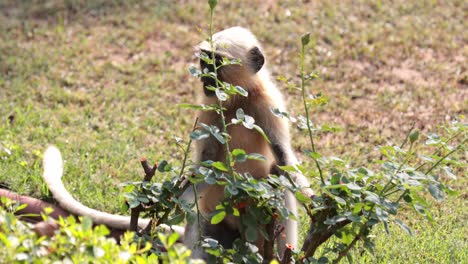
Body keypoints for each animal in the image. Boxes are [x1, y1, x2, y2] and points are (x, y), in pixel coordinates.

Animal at [184, 26, 314, 258]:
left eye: (216, 62)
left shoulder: (268, 103)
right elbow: (206, 164)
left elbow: (282, 157)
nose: (204, 77)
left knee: (277, 173)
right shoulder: (210, 106)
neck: (239, 100)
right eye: (204, 60)